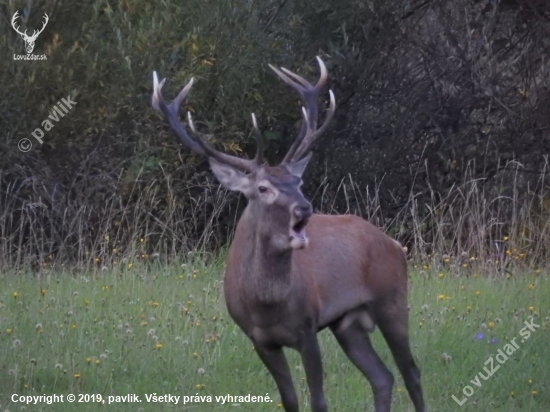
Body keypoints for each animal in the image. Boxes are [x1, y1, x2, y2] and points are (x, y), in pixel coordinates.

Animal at [153, 56, 430, 410]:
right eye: (263, 188)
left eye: (297, 181)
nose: (305, 208)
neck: (266, 306)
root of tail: (393, 242)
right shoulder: (260, 340)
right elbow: (290, 400)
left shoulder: (307, 329)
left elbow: (318, 401)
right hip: (348, 322)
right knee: (383, 377)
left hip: (392, 298)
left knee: (411, 372)